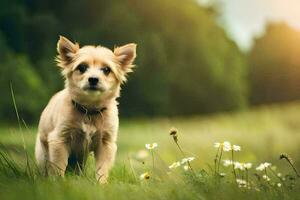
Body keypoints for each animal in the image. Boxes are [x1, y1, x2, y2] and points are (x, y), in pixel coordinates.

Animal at [35, 36, 137, 183]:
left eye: (106, 69)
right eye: (82, 67)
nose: (93, 79)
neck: (90, 110)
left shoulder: (106, 144)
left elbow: (102, 168)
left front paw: (101, 184)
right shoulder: (59, 139)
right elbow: (59, 166)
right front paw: (59, 183)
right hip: (43, 154)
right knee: (46, 167)